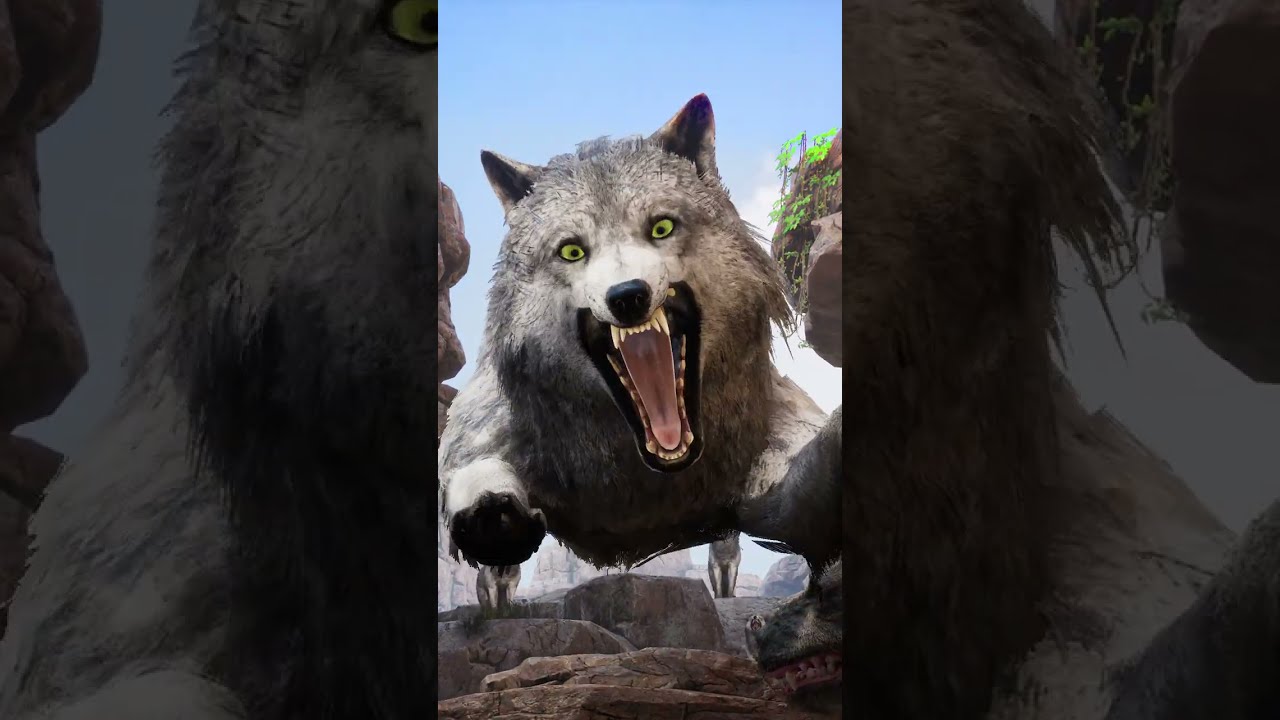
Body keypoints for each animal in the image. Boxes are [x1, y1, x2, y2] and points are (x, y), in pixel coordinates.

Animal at [437, 94, 842, 581]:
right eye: (571, 250)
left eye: (661, 228)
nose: (628, 295)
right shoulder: (479, 428)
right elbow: (471, 468)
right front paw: (492, 515)